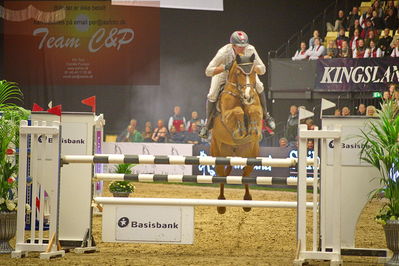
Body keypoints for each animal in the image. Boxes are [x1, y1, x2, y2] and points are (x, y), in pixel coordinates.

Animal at [211, 53, 264, 213]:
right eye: (239, 73)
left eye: (253, 72)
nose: (248, 96)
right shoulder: (227, 115)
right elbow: (237, 111)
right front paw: (240, 130)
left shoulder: (256, 109)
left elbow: (253, 110)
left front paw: (253, 129)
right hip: (218, 155)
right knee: (221, 177)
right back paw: (221, 204)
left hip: (252, 156)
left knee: (245, 175)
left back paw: (247, 202)